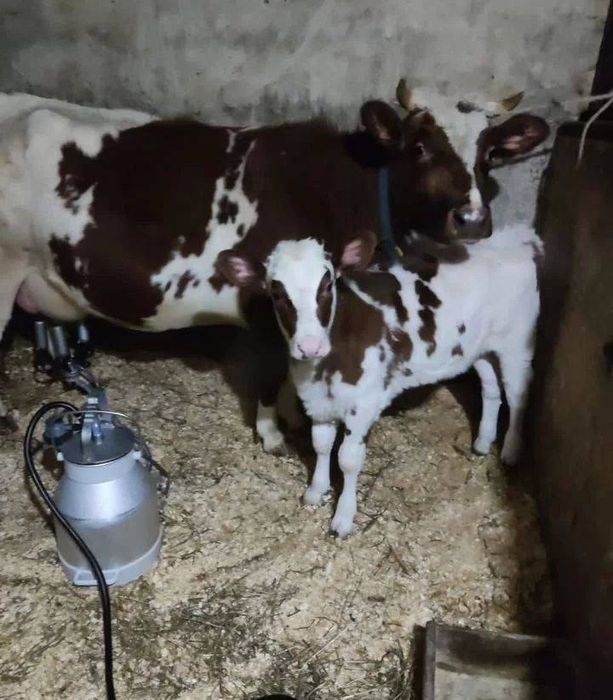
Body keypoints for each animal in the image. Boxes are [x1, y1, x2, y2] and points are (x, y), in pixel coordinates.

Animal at [0, 83, 548, 450]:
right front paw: (272, 431)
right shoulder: (265, 299)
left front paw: (291, 415)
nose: (473, 218)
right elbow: (270, 372)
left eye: (489, 154)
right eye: (419, 148)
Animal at [217, 224, 542, 537]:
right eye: (277, 294)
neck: (325, 365)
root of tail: (514, 239)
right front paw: (316, 491)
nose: (310, 346)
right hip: (479, 349)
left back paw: (511, 451)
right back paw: (483, 441)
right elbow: (320, 445)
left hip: (517, 343)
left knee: (518, 394)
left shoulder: (363, 403)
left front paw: (343, 518)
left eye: (327, 284)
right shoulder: (319, 401)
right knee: (491, 389)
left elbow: (348, 459)